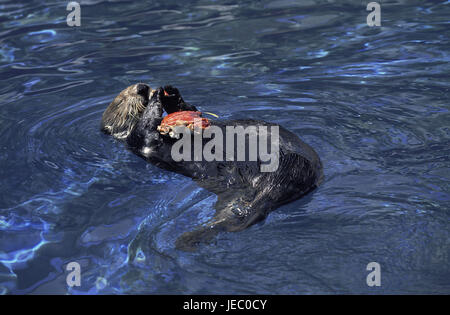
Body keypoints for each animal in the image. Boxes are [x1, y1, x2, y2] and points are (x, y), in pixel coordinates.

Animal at [101, 84, 324, 252]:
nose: (143, 87)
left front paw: (171, 94)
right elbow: (145, 130)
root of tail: (279, 182)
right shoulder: (140, 142)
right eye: (121, 99)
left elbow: (190, 107)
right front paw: (156, 99)